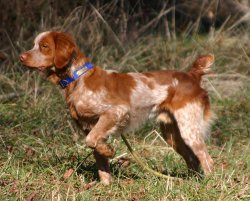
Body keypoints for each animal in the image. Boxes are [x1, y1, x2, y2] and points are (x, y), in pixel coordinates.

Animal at [19, 31, 215, 185]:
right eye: (34, 44)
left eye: (44, 46)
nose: (21, 56)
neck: (77, 79)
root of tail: (191, 76)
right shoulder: (89, 126)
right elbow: (98, 156)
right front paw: (106, 186)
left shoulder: (116, 112)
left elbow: (91, 141)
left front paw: (109, 150)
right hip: (172, 134)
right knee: (192, 159)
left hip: (189, 129)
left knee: (206, 159)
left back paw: (208, 184)